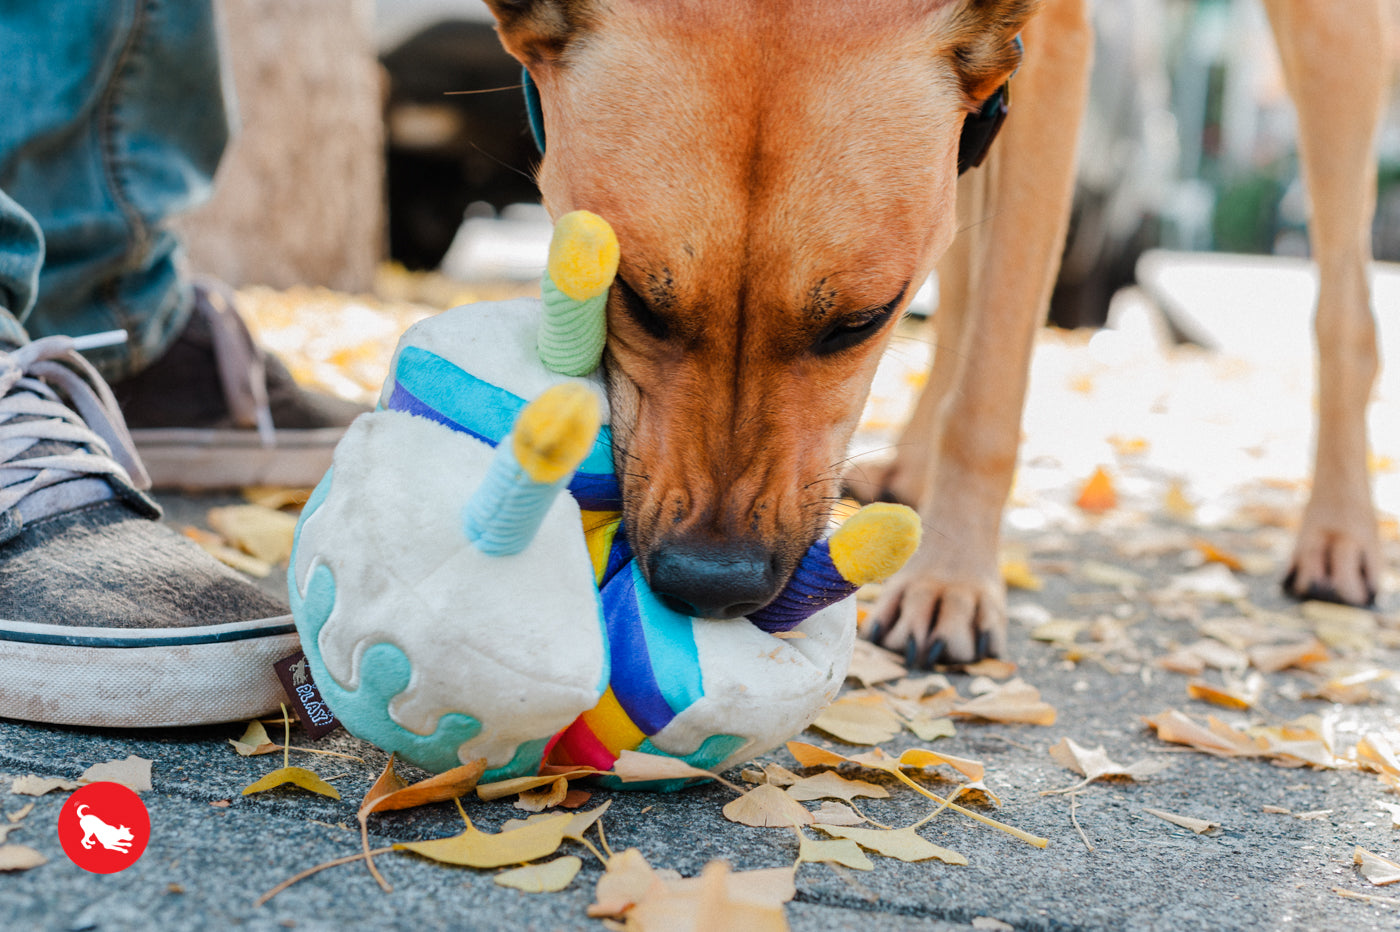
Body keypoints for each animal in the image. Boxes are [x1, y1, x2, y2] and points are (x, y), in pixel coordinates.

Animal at [484, 3, 1388, 663]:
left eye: (859, 323)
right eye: (634, 297)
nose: (714, 584)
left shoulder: (1054, 57)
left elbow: (990, 384)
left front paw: (952, 579)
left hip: (1331, 43)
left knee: (1344, 304)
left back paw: (1339, 536)